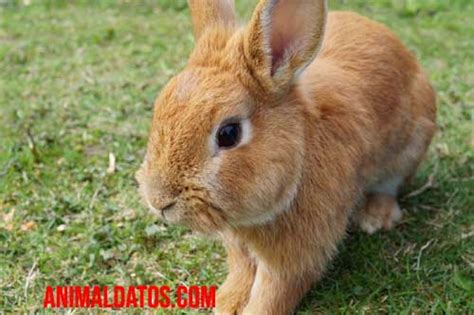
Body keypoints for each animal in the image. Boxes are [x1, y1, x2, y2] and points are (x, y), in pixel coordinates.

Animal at [134, 0, 436, 314]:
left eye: (228, 133)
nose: (158, 201)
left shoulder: (298, 255)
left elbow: (274, 291)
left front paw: (252, 310)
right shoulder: (239, 244)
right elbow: (242, 269)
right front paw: (226, 303)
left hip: (409, 146)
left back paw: (376, 217)